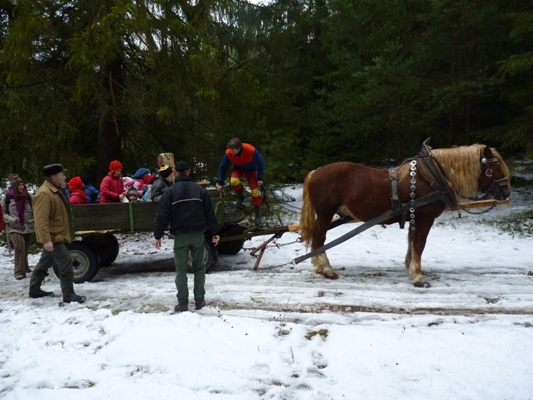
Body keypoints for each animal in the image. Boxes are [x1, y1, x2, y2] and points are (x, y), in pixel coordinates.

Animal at [300, 141, 512, 288]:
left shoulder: (414, 216)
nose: (506, 191)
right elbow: (419, 244)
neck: (432, 176)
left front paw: (411, 267)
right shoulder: (425, 217)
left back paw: (320, 266)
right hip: (326, 213)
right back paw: (327, 269)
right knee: (319, 237)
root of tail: (315, 172)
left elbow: (411, 241)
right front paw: (418, 277)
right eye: (495, 167)